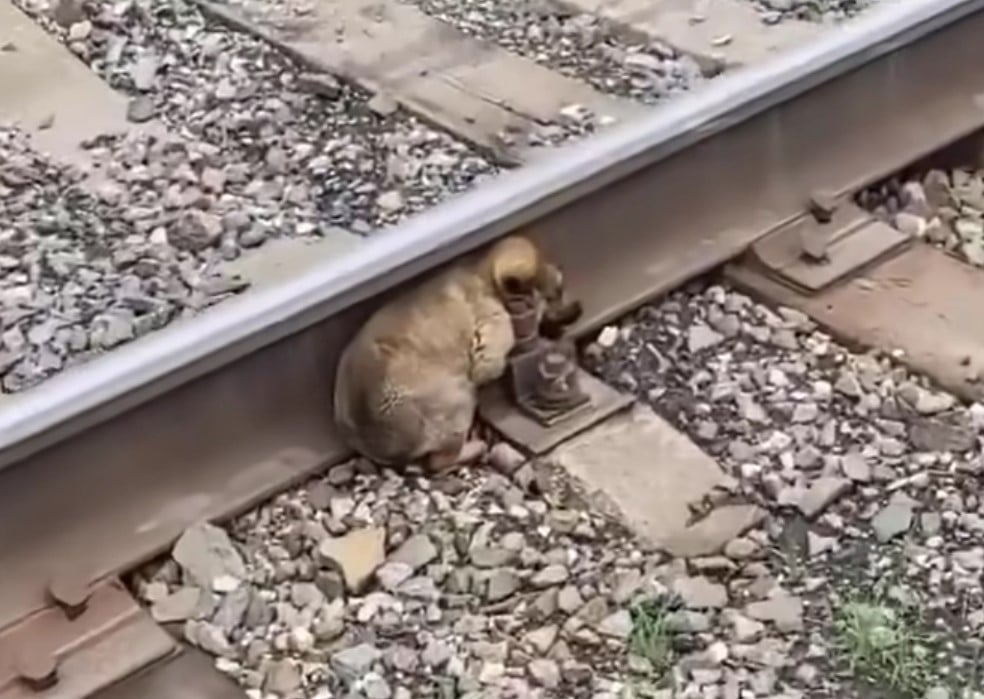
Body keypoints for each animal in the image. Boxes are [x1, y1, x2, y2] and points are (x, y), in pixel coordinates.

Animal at [334, 237, 572, 476]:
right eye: (557, 293)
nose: (575, 309)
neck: (484, 275)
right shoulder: (492, 332)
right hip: (457, 402)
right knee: (439, 460)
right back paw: (475, 447)